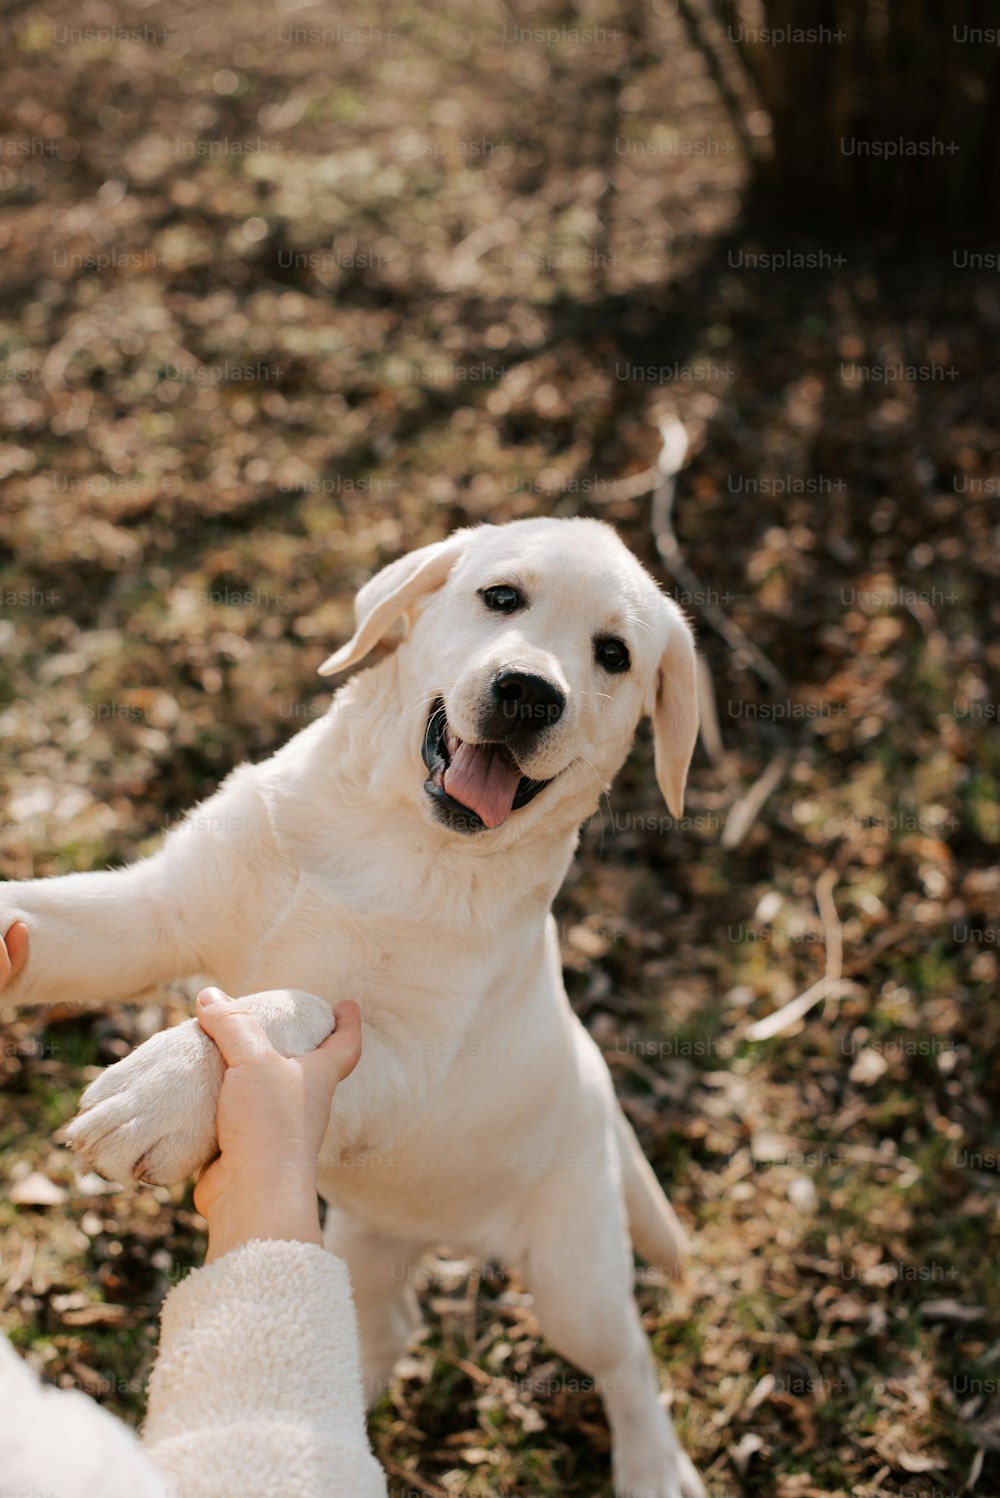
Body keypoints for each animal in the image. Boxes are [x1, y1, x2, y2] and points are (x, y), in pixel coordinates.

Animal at [1, 518, 703, 1498]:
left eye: (614, 655)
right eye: (502, 597)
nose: (529, 694)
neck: (395, 835)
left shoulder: (406, 1062)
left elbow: (296, 999)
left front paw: (163, 1090)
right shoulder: (153, 911)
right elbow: (49, 914)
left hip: (575, 1278)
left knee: (625, 1355)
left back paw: (652, 1464)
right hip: (364, 1237)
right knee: (383, 1323)